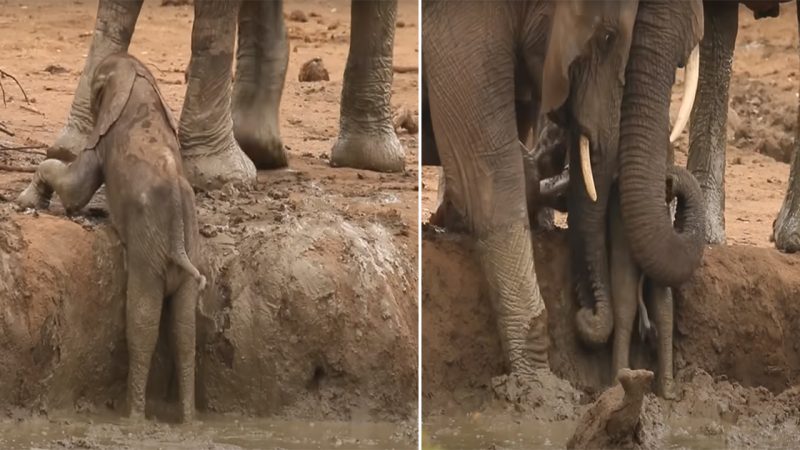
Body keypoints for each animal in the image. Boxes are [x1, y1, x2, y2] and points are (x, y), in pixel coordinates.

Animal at [16, 53, 205, 422]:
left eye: (94, 88)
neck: (139, 75)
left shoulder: (102, 139)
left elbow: (76, 187)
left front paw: (27, 201)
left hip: (148, 247)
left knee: (143, 318)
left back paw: (134, 417)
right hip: (189, 247)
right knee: (185, 327)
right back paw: (189, 421)